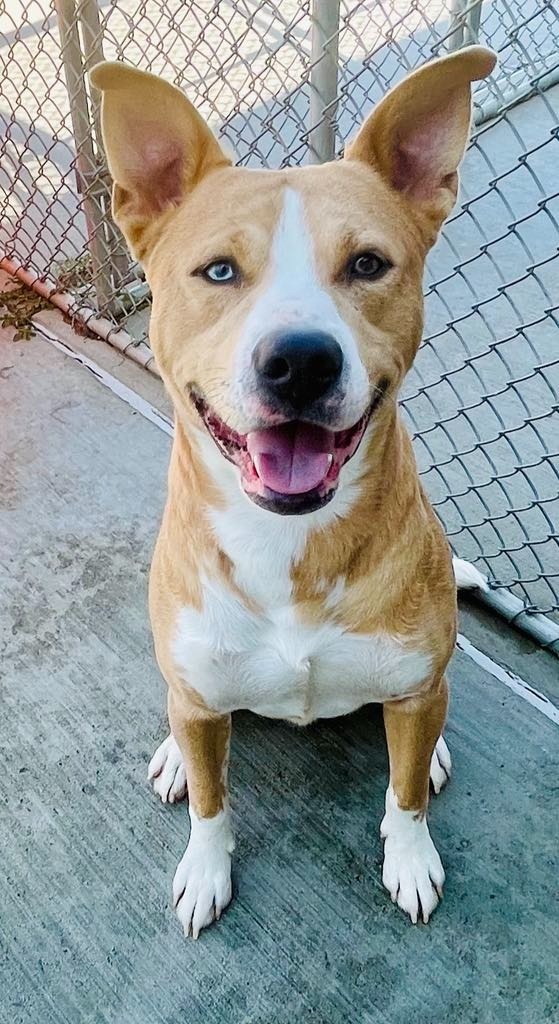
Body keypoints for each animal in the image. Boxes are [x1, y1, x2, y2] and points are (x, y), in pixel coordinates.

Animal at [92, 49, 495, 942]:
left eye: (368, 264)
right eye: (217, 271)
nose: (301, 361)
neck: (286, 547)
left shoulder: (412, 692)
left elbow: (404, 794)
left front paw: (409, 855)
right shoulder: (202, 700)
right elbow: (212, 802)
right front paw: (205, 868)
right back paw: (174, 756)